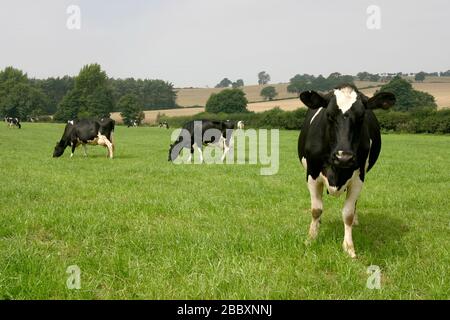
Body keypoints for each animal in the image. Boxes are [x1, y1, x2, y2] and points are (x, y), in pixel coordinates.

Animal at [298, 84, 396, 258]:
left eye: (362, 116)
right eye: (329, 115)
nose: (344, 157)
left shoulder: (358, 179)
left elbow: (348, 213)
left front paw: (349, 247)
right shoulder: (312, 175)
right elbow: (316, 210)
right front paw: (311, 238)